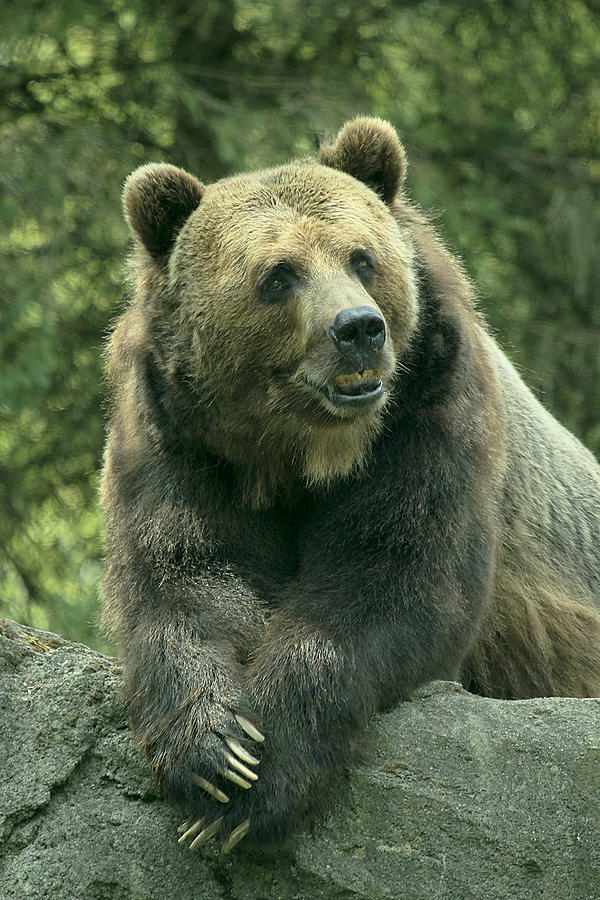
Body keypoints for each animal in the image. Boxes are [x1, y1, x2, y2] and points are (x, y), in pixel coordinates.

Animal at [102, 118, 600, 852]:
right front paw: (216, 754)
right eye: (278, 275)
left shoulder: (428, 410)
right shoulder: (178, 435)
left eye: (362, 257)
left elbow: (390, 575)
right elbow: (186, 573)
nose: (360, 328)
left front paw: (261, 776)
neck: (300, 450)